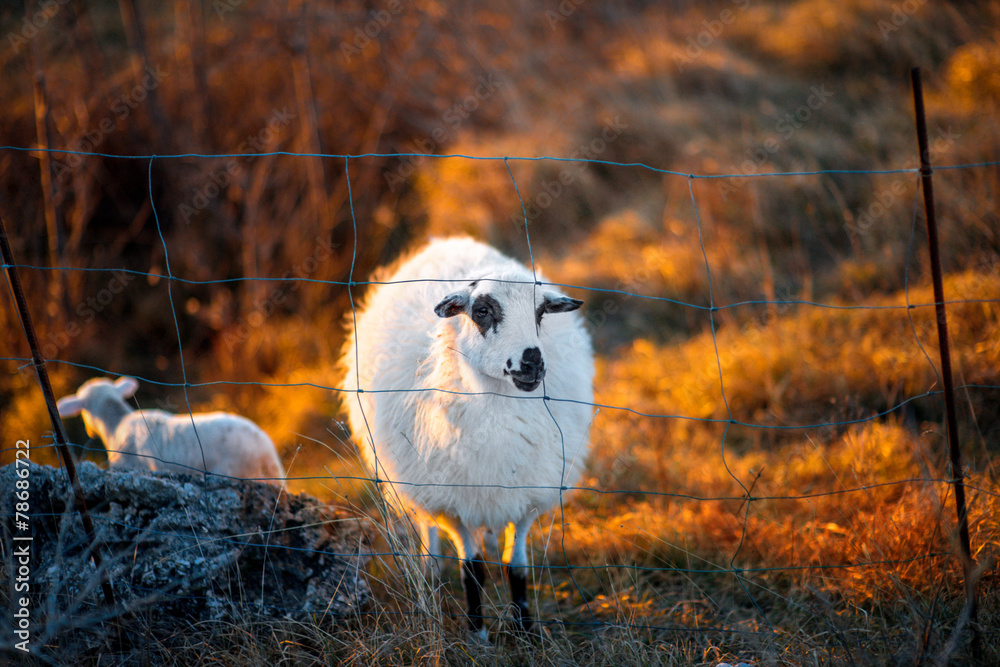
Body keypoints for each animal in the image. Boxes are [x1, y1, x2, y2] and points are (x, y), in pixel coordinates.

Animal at [344, 237, 592, 640]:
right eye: (482, 311)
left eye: (541, 313)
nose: (533, 363)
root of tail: (448, 241)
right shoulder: (453, 499)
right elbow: (472, 570)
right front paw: (478, 634)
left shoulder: (528, 493)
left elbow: (516, 565)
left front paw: (524, 629)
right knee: (427, 528)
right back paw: (430, 572)